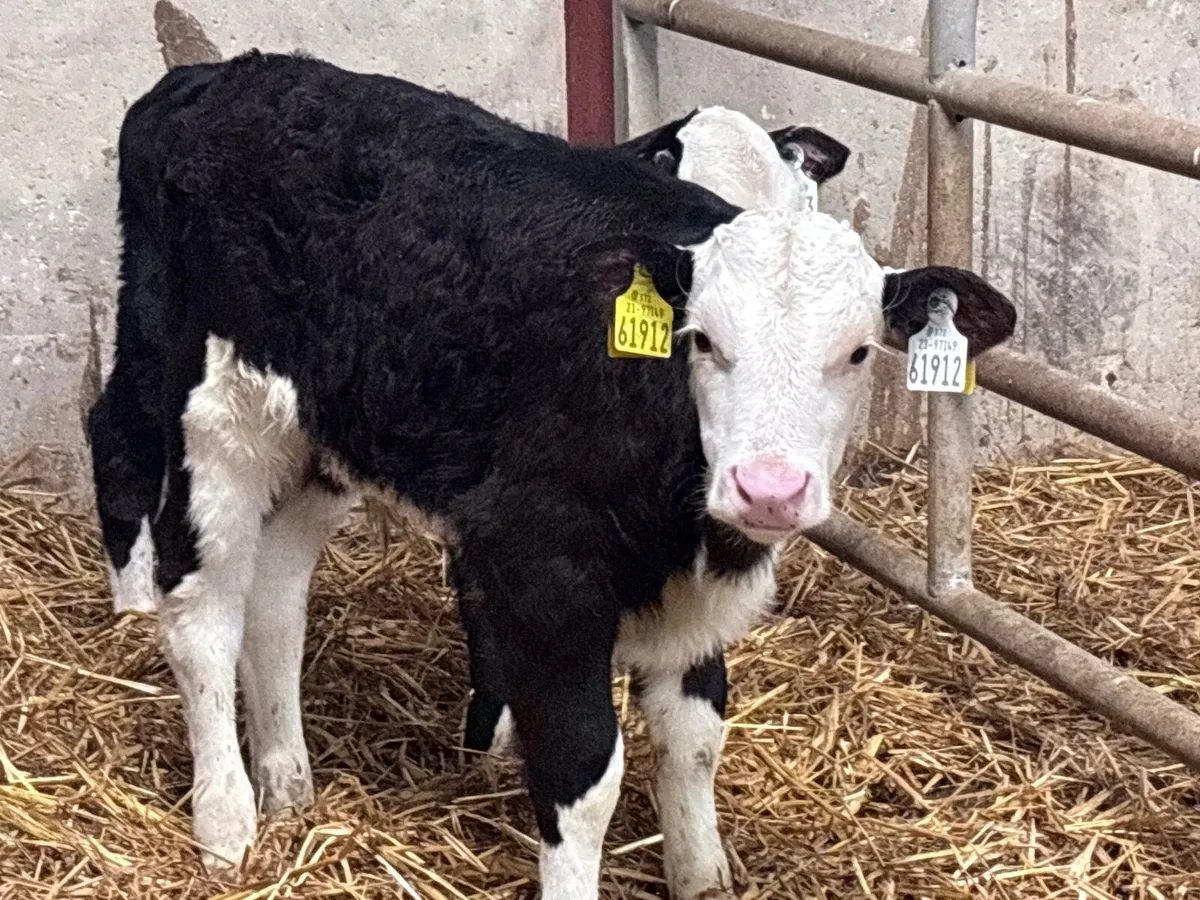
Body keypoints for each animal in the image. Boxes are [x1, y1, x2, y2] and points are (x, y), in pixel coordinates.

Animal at [88, 51, 1015, 900]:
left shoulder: (690, 592)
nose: (770, 488)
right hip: (211, 411)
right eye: (704, 338)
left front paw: (701, 873)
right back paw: (227, 821)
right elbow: (582, 771)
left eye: (858, 352)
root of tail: (220, 73)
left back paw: (287, 778)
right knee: (199, 602)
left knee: (276, 592)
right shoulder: (539, 558)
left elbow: (694, 736)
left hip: (328, 431)